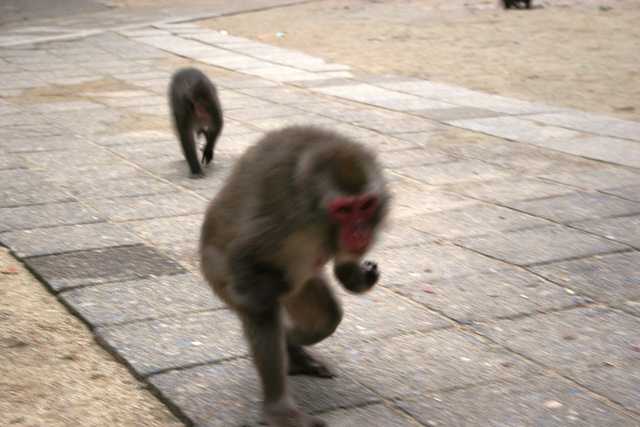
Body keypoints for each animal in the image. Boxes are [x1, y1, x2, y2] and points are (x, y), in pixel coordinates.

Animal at [200, 126, 390, 427]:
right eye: (344, 209)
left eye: (367, 205)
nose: (360, 233)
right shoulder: (281, 222)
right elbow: (241, 256)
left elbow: (344, 264)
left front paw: (357, 278)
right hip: (216, 272)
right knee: (263, 313)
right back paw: (278, 409)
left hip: (305, 284)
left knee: (325, 317)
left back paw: (294, 351)